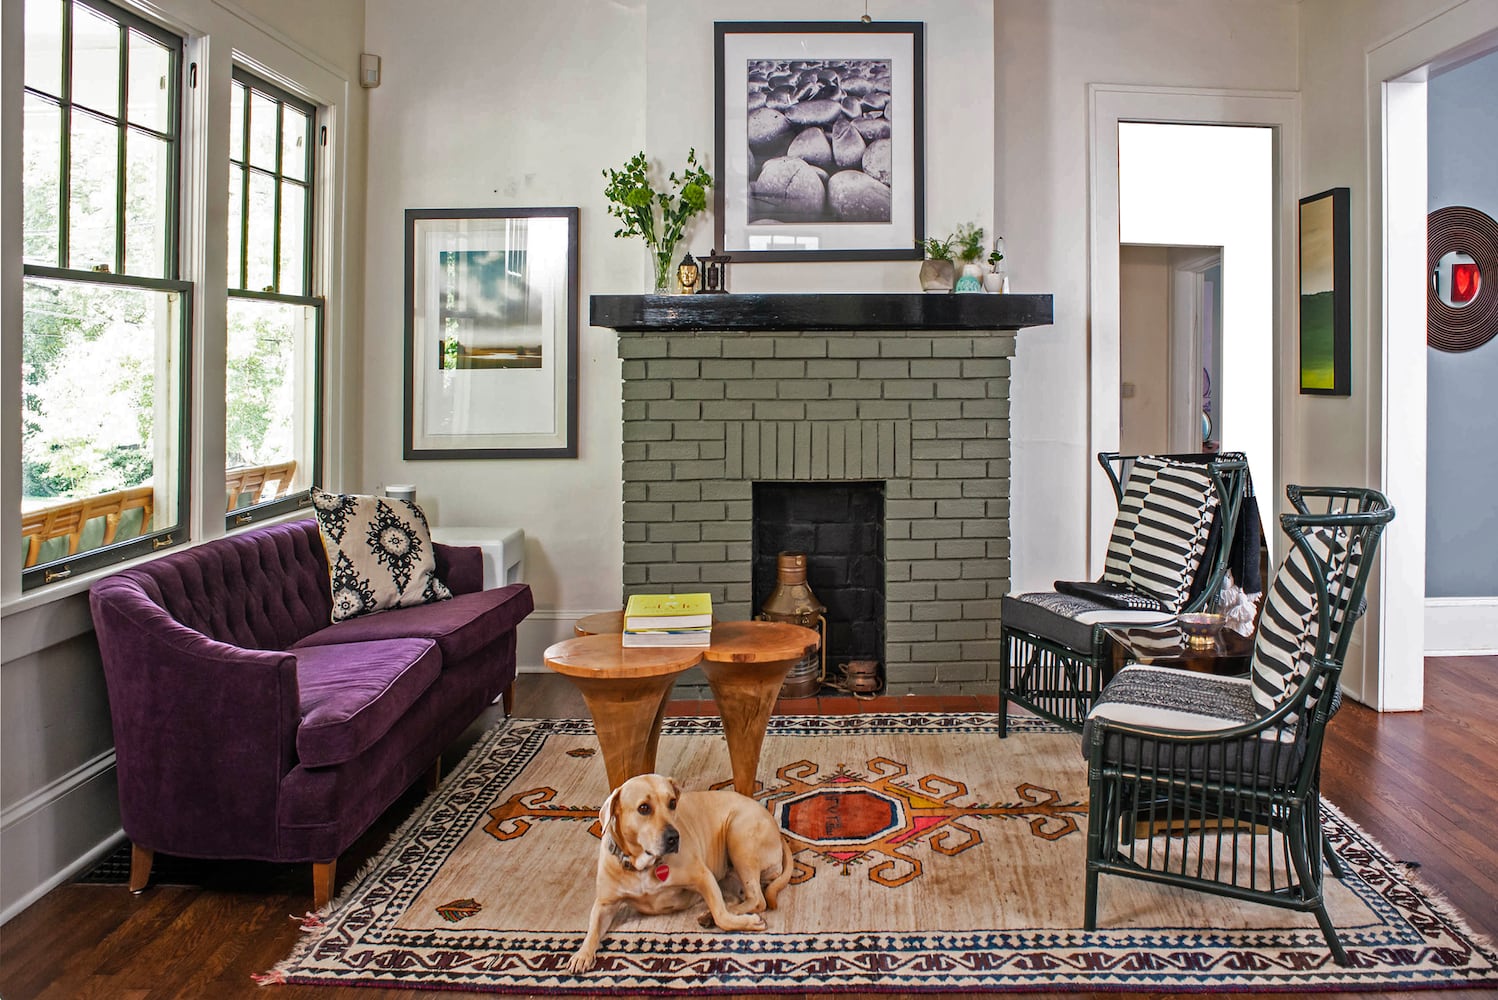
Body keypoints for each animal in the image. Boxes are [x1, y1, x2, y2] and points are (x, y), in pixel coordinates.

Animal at [563, 772, 796, 970]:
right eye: (644, 808)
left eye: (672, 803)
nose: (674, 837)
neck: (643, 865)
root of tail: (776, 828)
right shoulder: (604, 904)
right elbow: (592, 929)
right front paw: (582, 954)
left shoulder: (703, 877)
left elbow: (722, 915)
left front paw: (743, 921)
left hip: (738, 837)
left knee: (756, 900)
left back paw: (716, 916)